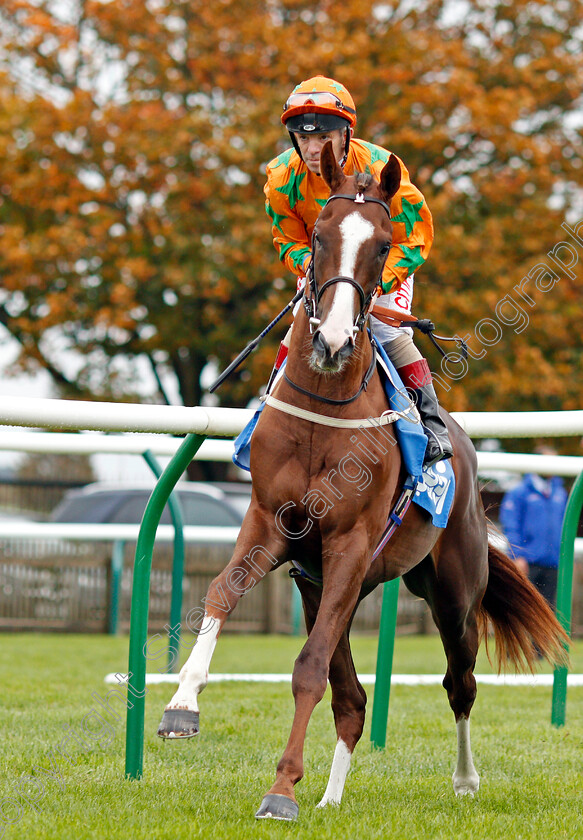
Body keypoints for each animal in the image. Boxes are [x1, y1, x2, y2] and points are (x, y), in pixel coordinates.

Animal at [157, 141, 568, 816]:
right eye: (319, 236)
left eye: (381, 244)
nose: (330, 342)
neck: (324, 411)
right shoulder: (270, 524)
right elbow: (221, 592)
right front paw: (181, 706)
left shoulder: (350, 544)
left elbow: (306, 668)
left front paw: (280, 791)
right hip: (326, 587)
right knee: (352, 699)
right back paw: (330, 797)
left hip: (450, 591)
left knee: (460, 681)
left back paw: (464, 780)